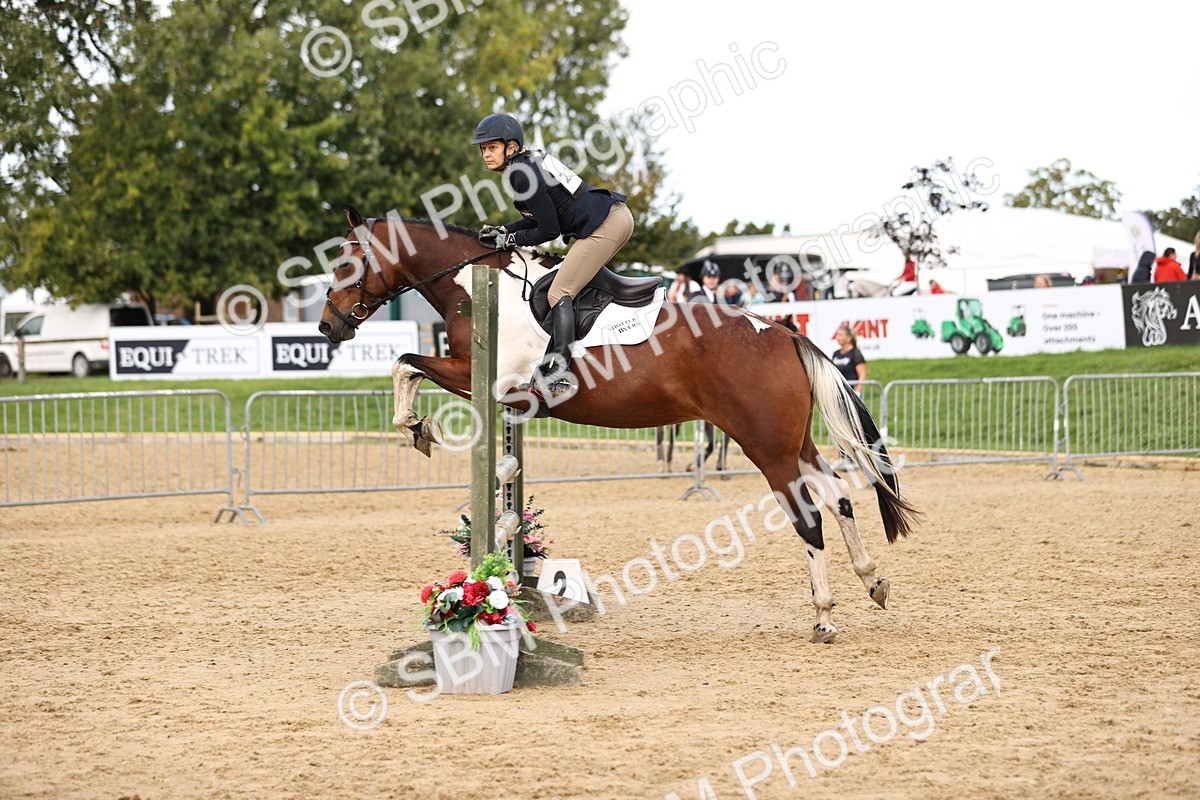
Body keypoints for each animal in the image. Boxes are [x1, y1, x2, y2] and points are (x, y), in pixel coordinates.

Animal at [319, 209, 919, 643]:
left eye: (347, 265)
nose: (327, 326)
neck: (478, 289)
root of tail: (780, 330)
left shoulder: (486, 381)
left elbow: (406, 363)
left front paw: (415, 427)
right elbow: (409, 365)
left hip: (766, 448)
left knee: (809, 516)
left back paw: (824, 616)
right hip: (793, 443)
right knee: (839, 495)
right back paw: (873, 580)